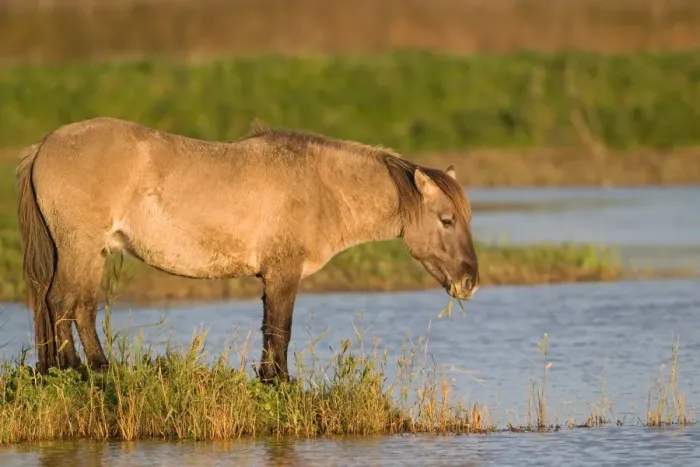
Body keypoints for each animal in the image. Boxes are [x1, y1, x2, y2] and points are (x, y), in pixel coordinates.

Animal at [16, 117, 480, 382]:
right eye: (447, 220)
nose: (470, 282)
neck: (320, 186)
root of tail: (43, 145)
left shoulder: (271, 277)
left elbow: (269, 328)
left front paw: (268, 378)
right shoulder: (283, 273)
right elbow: (280, 329)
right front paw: (280, 382)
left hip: (90, 253)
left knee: (80, 307)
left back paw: (95, 369)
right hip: (78, 248)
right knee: (61, 302)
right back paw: (75, 370)